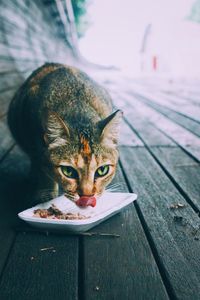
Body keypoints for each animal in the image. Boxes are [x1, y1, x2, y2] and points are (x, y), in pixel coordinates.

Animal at [7, 63, 122, 206]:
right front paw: (46, 195)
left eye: (102, 170)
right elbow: (42, 168)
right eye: (68, 171)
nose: (87, 197)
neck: (78, 110)